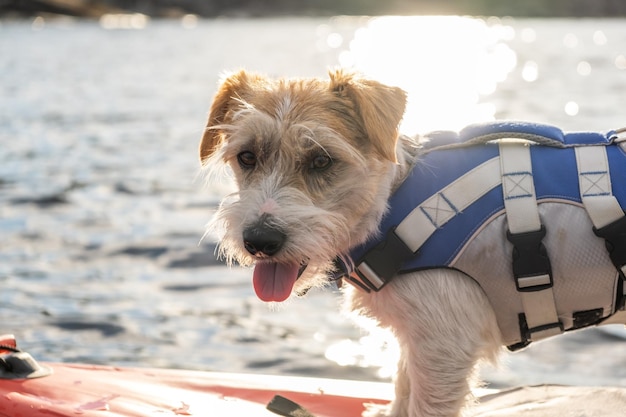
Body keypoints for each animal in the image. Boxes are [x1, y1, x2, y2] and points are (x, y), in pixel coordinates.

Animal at [199, 69, 624, 416]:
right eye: (247, 156)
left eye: (321, 160)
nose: (259, 240)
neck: (391, 203)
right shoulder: (417, 340)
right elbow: (403, 391)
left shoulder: (443, 350)